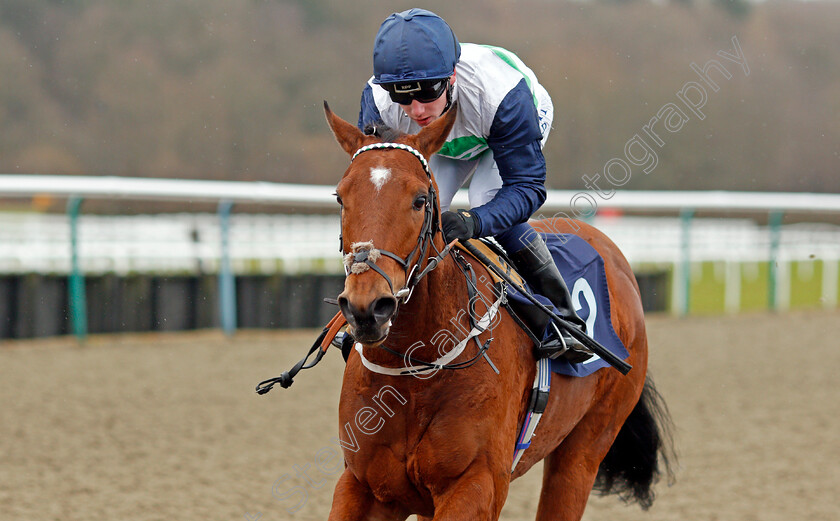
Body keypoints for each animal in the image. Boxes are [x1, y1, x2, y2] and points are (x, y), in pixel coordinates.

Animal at [320, 102, 668, 520]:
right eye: (340, 198)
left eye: (420, 200)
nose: (367, 307)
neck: (416, 368)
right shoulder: (364, 486)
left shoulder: (476, 484)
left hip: (584, 450)